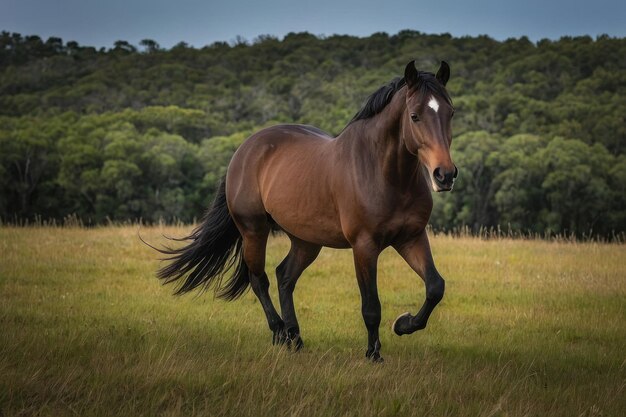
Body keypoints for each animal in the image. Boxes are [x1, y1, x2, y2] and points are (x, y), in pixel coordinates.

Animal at [154, 59, 456, 360]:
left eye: (450, 113)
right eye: (415, 116)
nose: (445, 175)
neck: (385, 173)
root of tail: (244, 149)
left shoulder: (411, 238)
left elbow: (435, 287)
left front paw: (404, 324)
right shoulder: (364, 246)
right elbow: (371, 306)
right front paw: (373, 354)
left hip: (306, 240)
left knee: (284, 277)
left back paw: (295, 337)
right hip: (254, 230)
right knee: (259, 279)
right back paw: (279, 333)